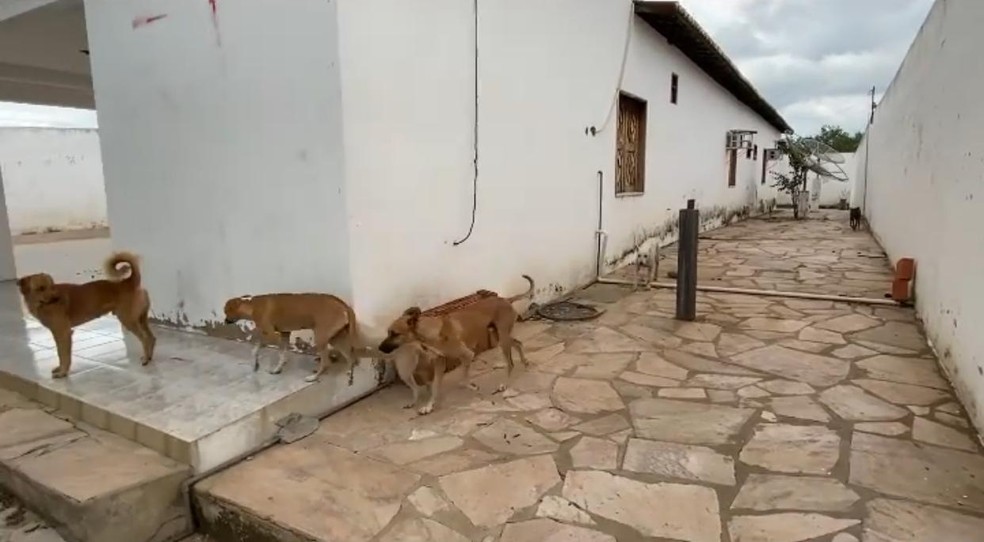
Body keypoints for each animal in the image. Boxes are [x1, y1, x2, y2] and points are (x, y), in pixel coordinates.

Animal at [16, 253, 156, 380]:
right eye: (41, 288)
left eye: (52, 286)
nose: (57, 298)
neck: (40, 305)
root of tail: (129, 282)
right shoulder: (58, 334)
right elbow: (61, 354)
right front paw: (61, 369)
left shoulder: (63, 333)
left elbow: (63, 355)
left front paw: (63, 372)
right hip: (141, 319)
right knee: (151, 337)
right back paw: (149, 357)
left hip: (128, 320)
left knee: (144, 338)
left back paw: (145, 359)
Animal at [223, 294, 362, 382]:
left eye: (226, 311)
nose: (224, 321)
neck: (251, 305)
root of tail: (343, 304)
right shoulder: (284, 334)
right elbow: (271, 352)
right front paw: (275, 368)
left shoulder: (272, 335)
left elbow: (266, 349)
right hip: (336, 338)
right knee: (350, 357)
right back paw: (349, 371)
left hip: (321, 337)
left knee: (327, 362)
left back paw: (313, 377)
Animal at [378, 274, 536, 394]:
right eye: (388, 332)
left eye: (394, 333)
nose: (379, 348)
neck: (430, 331)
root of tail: (506, 299)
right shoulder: (441, 360)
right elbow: (438, 384)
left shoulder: (467, 355)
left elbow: (463, 379)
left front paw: (470, 385)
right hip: (500, 336)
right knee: (518, 343)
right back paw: (525, 362)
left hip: (502, 338)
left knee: (510, 363)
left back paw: (505, 384)